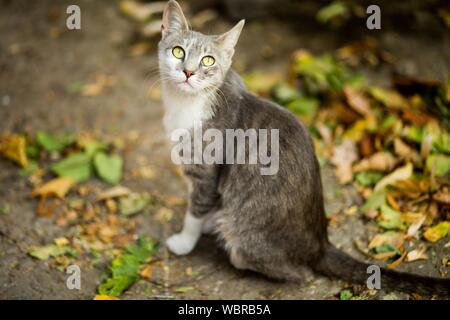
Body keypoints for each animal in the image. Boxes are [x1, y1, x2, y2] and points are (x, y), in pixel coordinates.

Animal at [156, 0, 448, 296]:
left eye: (208, 60)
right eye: (178, 51)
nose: (188, 72)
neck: (186, 103)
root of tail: (319, 243)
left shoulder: (205, 171)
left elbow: (196, 207)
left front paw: (185, 240)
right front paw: (205, 221)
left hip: (244, 240)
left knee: (291, 271)